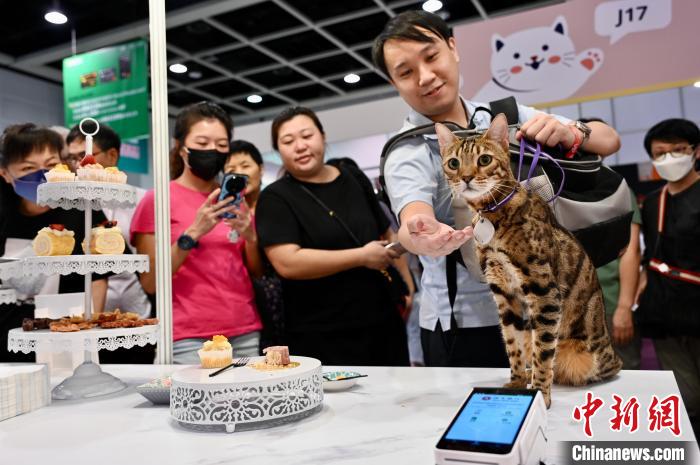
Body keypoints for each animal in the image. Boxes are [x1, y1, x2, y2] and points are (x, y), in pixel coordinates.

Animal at [438, 115, 624, 406]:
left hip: (589, 356)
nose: (466, 178)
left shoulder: (544, 291)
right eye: (454, 163)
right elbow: (513, 344)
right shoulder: (503, 291)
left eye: (484, 160)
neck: (492, 216)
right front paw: (517, 383)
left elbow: (543, 351)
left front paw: (539, 394)